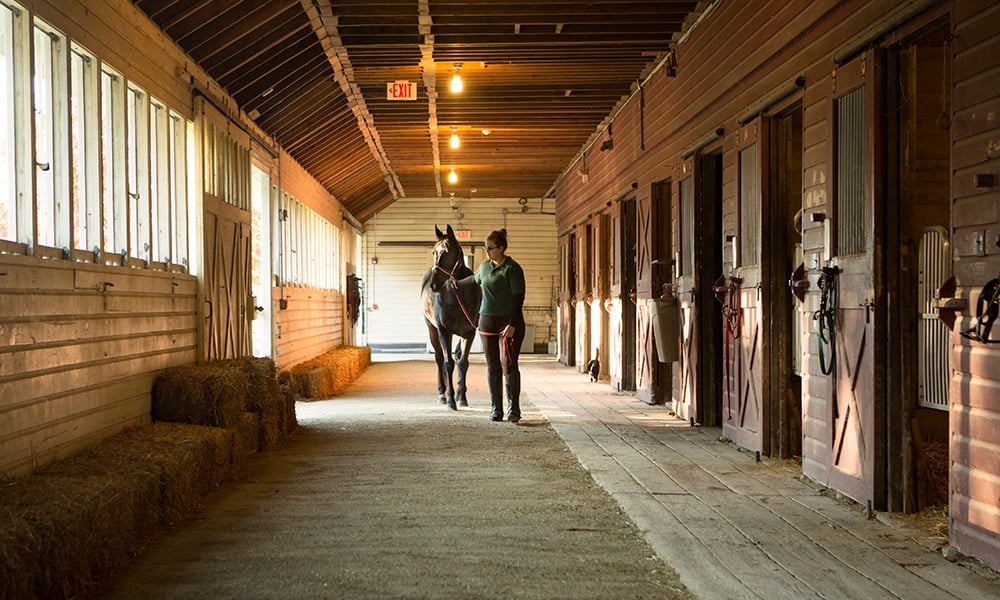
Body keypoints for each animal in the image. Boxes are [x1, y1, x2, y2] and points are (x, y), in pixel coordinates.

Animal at [420, 223, 482, 410]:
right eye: (434, 252)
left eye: (447, 251)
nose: (433, 285)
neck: (457, 294)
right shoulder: (444, 331)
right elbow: (448, 363)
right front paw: (450, 400)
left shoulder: (469, 333)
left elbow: (463, 362)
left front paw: (461, 397)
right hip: (432, 329)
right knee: (440, 358)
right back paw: (442, 393)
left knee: (457, 357)